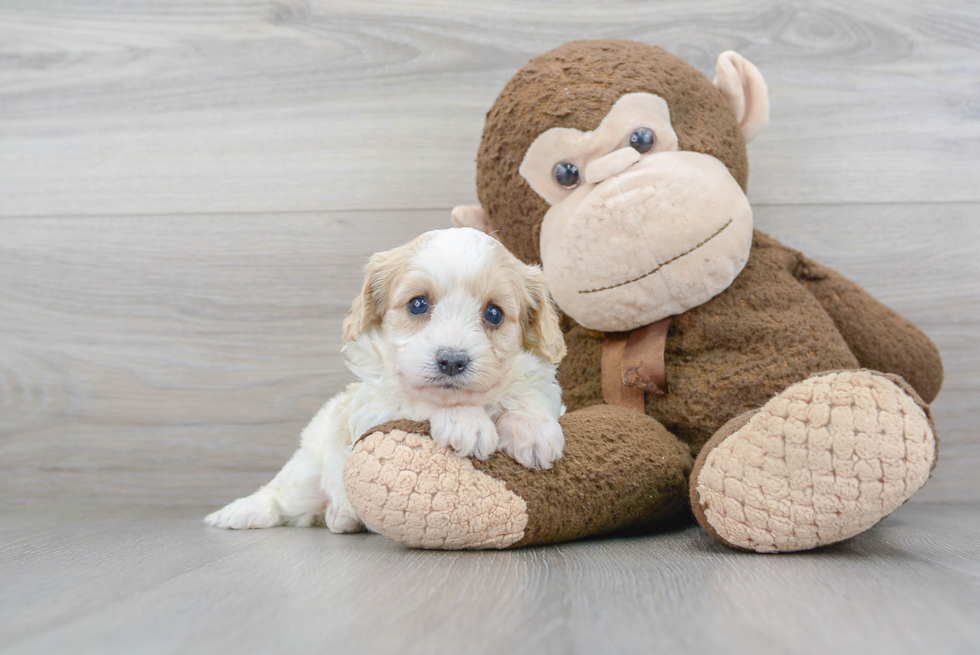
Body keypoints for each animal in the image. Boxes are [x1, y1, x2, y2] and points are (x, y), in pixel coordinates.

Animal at [207, 227, 568, 532]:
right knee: (280, 494)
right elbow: (415, 399)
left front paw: (532, 432)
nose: (452, 360)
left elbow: (532, 392)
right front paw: (465, 422)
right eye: (418, 304)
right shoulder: (372, 409)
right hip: (307, 471)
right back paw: (239, 512)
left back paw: (340, 517)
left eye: (494, 314)